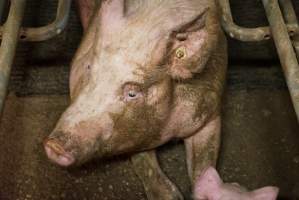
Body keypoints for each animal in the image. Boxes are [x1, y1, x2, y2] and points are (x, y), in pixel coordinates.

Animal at [44, 0, 227, 199]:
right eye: (89, 68)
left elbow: (205, 165)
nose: (54, 145)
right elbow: (142, 159)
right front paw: (169, 195)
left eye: (132, 93)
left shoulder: (210, 111)